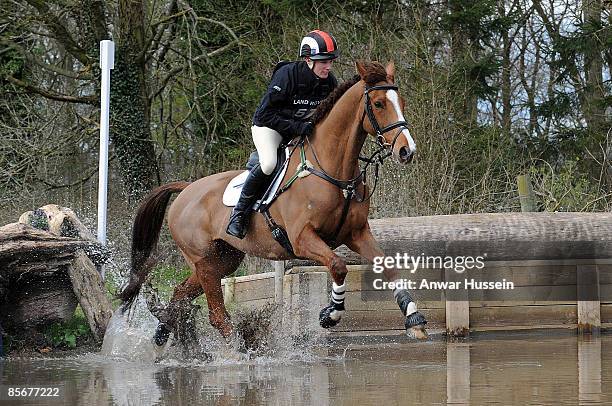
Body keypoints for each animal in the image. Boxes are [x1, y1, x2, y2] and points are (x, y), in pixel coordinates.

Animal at [118, 61, 426, 346]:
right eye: (378, 103)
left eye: (402, 103)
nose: (406, 151)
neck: (333, 170)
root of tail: (186, 189)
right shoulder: (303, 239)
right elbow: (339, 266)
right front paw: (330, 314)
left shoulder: (357, 233)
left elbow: (388, 266)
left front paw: (414, 319)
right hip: (204, 260)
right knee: (216, 314)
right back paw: (239, 350)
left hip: (223, 259)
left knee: (181, 293)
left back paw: (164, 338)